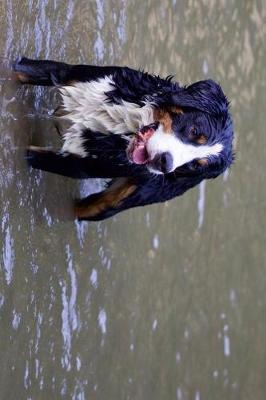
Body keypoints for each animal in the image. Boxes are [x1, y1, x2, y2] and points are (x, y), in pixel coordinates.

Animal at [12, 56, 234, 220]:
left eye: (194, 166)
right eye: (194, 131)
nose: (165, 163)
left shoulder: (80, 165)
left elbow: (35, 156)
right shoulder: (77, 76)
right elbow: (23, 71)